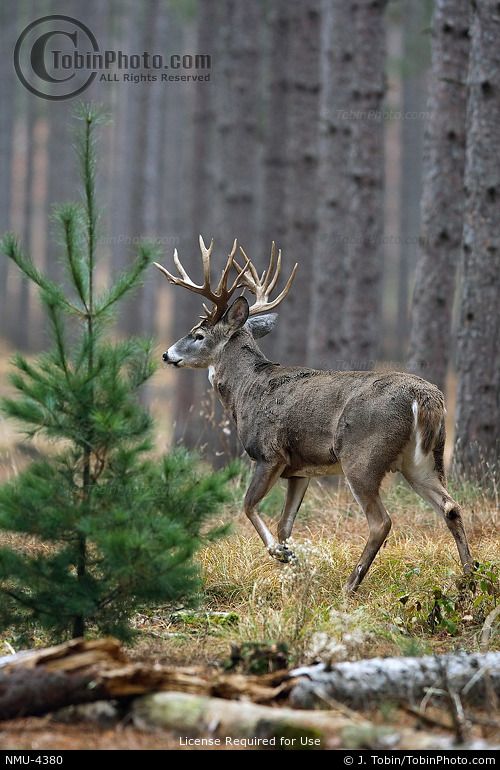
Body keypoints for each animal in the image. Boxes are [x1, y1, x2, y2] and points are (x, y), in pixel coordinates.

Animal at [155, 237, 472, 592]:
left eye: (198, 334)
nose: (166, 354)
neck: (245, 391)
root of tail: (426, 397)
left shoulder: (270, 454)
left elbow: (249, 506)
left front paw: (281, 555)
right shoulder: (300, 470)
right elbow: (285, 524)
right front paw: (293, 570)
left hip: (362, 457)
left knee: (381, 521)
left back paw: (350, 585)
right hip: (424, 460)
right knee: (451, 506)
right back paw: (469, 577)